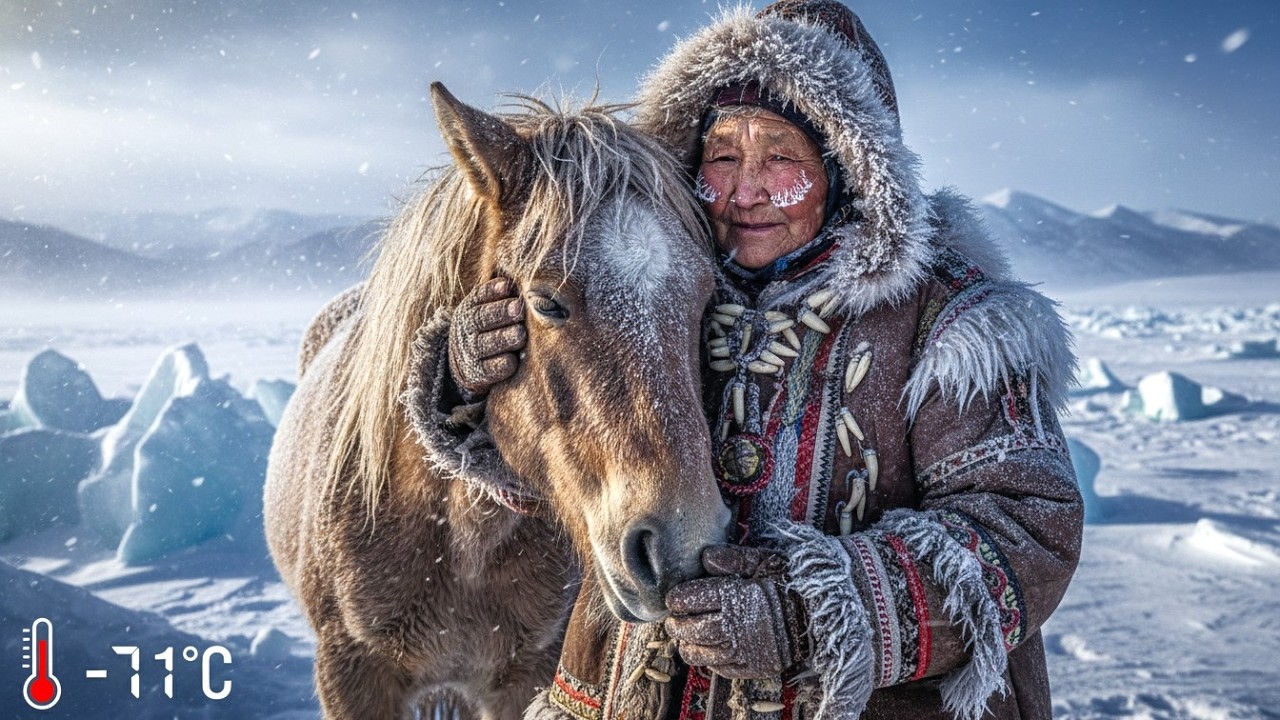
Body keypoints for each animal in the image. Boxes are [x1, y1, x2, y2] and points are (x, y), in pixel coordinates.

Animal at [264, 82, 730, 720]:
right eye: (546, 302)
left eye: (707, 298)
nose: (681, 547)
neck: (458, 535)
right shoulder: (352, 674)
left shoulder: (524, 675)